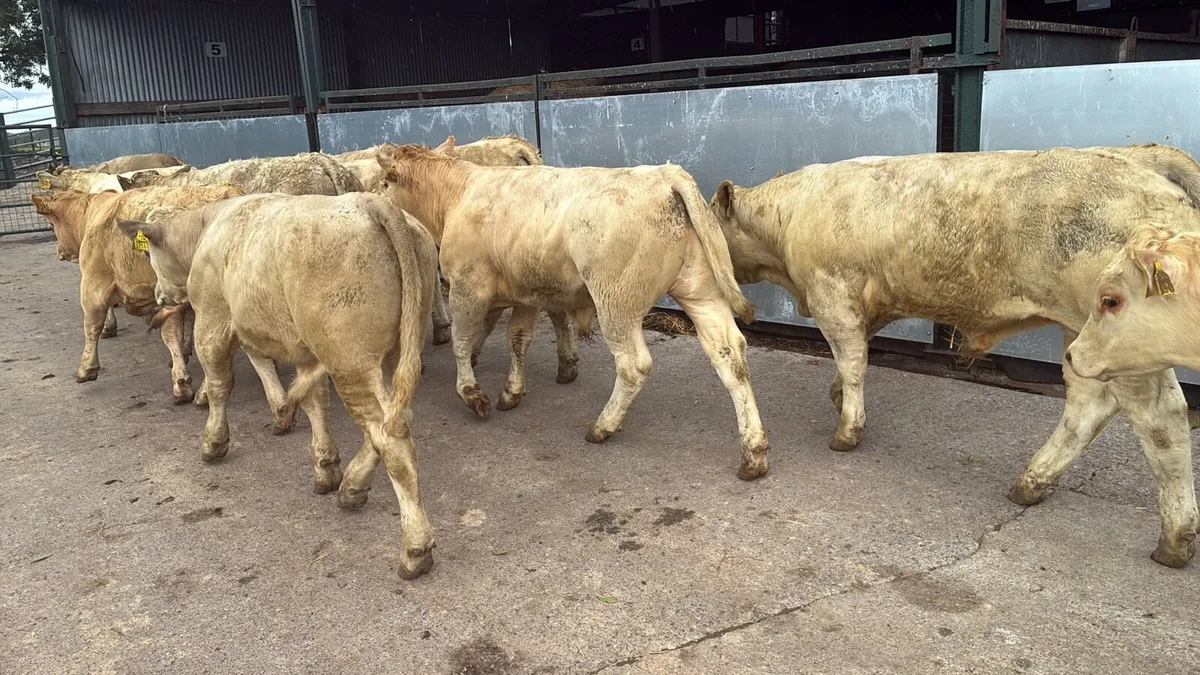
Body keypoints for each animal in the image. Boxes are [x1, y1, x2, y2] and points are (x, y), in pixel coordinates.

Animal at [29, 186, 243, 402]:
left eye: (51, 223)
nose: (59, 252)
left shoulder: (93, 285)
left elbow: (92, 325)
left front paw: (86, 368)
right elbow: (175, 331)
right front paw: (181, 368)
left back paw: (205, 392)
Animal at [115, 192, 441, 579]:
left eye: (147, 254)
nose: (157, 294)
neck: (206, 229)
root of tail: (370, 203)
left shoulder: (212, 321)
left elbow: (221, 382)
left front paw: (214, 440)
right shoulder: (301, 348)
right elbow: (314, 400)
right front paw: (324, 462)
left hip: (350, 359)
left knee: (391, 441)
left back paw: (415, 548)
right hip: (395, 351)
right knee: (391, 422)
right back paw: (352, 486)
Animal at [375, 143, 771, 480]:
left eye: (384, 182)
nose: (375, 198)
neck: (457, 194)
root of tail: (662, 174)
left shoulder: (466, 287)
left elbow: (461, 341)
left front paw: (472, 392)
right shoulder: (524, 293)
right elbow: (517, 340)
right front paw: (512, 391)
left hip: (616, 302)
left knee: (634, 365)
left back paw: (603, 426)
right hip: (701, 292)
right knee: (731, 356)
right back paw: (753, 453)